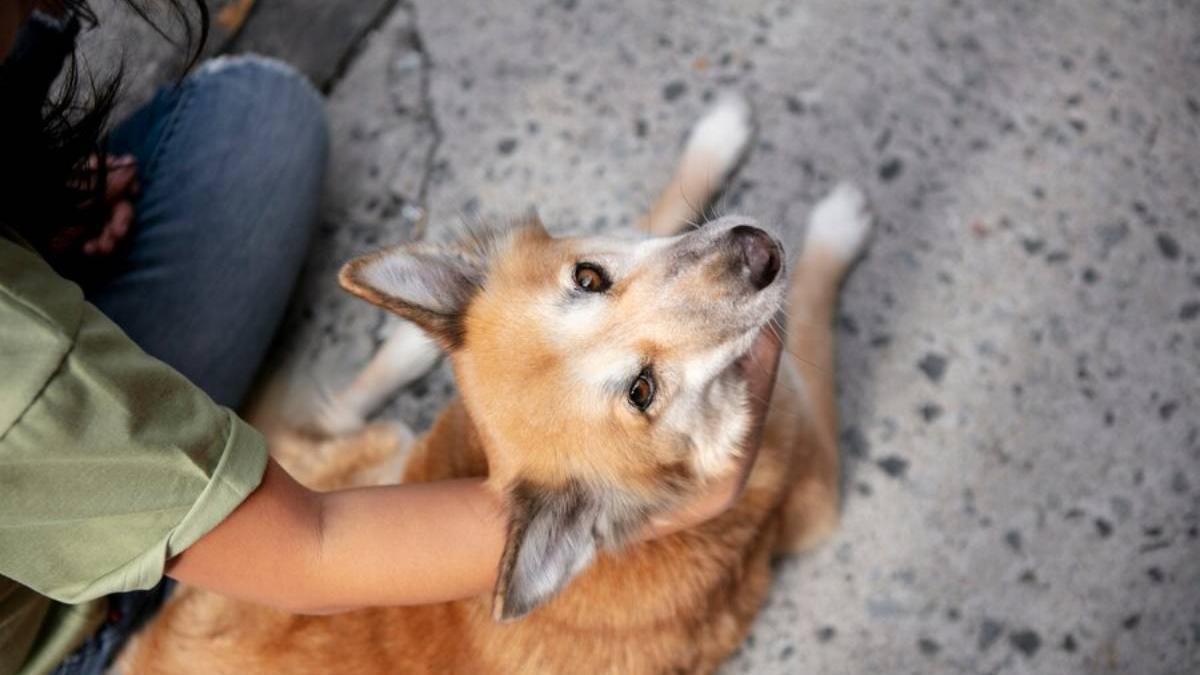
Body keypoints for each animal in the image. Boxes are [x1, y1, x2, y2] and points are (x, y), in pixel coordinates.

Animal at [119, 94, 873, 672]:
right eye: (642, 390)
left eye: (588, 276)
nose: (758, 252)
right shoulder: (817, 490)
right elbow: (811, 311)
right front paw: (836, 225)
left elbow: (656, 215)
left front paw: (713, 141)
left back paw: (414, 341)